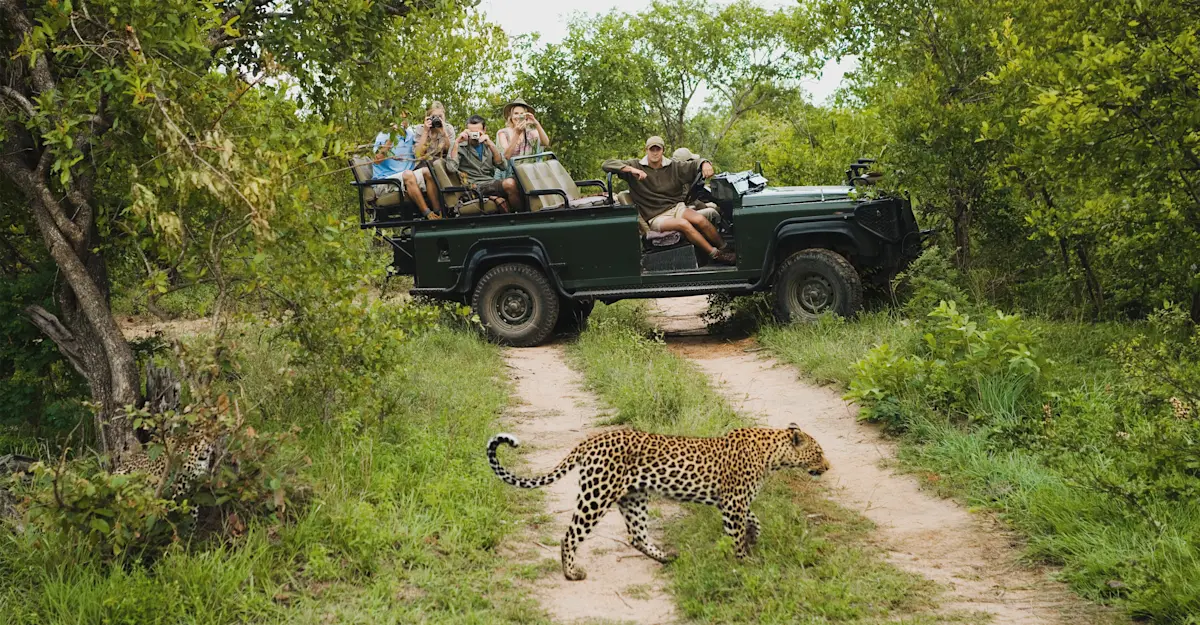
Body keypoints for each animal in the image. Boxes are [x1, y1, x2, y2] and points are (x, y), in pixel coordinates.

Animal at [487, 424, 829, 581]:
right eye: (819, 452)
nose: (827, 467)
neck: (773, 455)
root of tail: (590, 440)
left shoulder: (732, 502)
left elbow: (754, 519)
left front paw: (754, 536)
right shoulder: (733, 503)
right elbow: (737, 535)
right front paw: (744, 562)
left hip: (633, 497)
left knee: (636, 535)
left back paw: (666, 557)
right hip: (597, 494)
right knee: (570, 535)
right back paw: (572, 573)